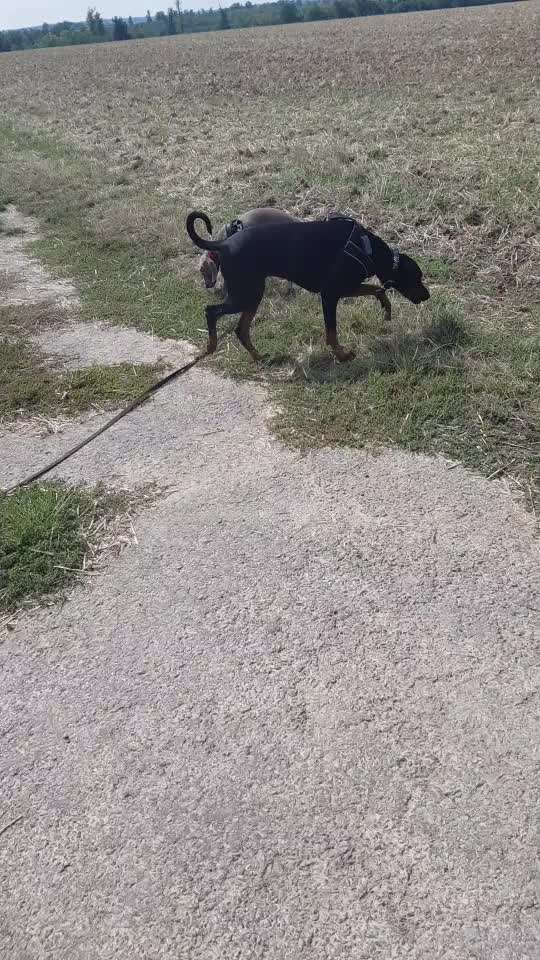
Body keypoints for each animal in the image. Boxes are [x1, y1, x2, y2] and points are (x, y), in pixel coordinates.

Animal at [187, 212, 430, 362]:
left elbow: (375, 289)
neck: (367, 247)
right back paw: (211, 346)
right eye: (417, 278)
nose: (427, 295)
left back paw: (259, 357)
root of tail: (223, 244)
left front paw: (386, 308)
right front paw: (341, 355)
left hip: (252, 294)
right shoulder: (330, 294)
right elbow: (331, 332)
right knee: (211, 311)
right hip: (246, 293)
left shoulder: (345, 287)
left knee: (241, 330)